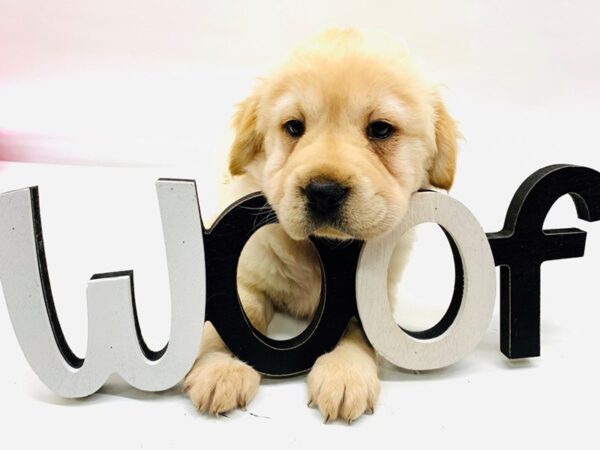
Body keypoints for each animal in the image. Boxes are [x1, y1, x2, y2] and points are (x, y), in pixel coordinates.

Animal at [184, 27, 460, 422]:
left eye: (380, 129)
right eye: (293, 127)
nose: (323, 192)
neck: (322, 250)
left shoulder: (370, 293)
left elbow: (356, 329)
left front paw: (345, 373)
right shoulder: (246, 274)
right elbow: (236, 315)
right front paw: (221, 367)